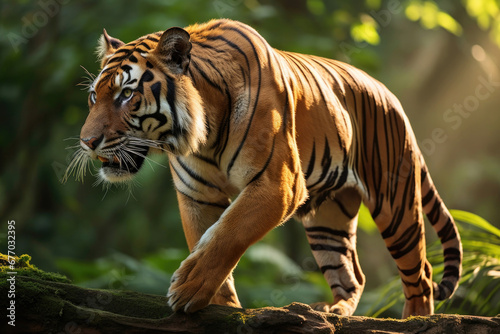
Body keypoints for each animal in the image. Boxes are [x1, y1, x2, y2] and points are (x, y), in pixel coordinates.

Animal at [65, 18, 460, 318]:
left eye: (127, 95)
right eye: (93, 96)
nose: (87, 142)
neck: (204, 133)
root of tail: (391, 95)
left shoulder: (278, 184)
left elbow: (229, 234)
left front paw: (189, 287)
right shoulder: (197, 196)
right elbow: (206, 240)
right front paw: (218, 304)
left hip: (396, 205)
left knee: (421, 273)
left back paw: (415, 320)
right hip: (329, 219)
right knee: (352, 276)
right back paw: (334, 312)